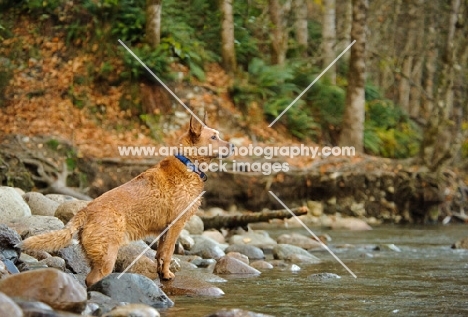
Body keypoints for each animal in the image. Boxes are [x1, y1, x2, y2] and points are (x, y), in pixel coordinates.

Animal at [19, 115, 232, 286]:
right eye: (214, 137)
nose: (233, 146)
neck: (188, 164)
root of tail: (86, 210)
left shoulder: (164, 230)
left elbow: (160, 254)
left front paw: (162, 274)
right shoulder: (176, 225)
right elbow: (169, 253)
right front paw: (167, 274)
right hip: (107, 258)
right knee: (92, 280)